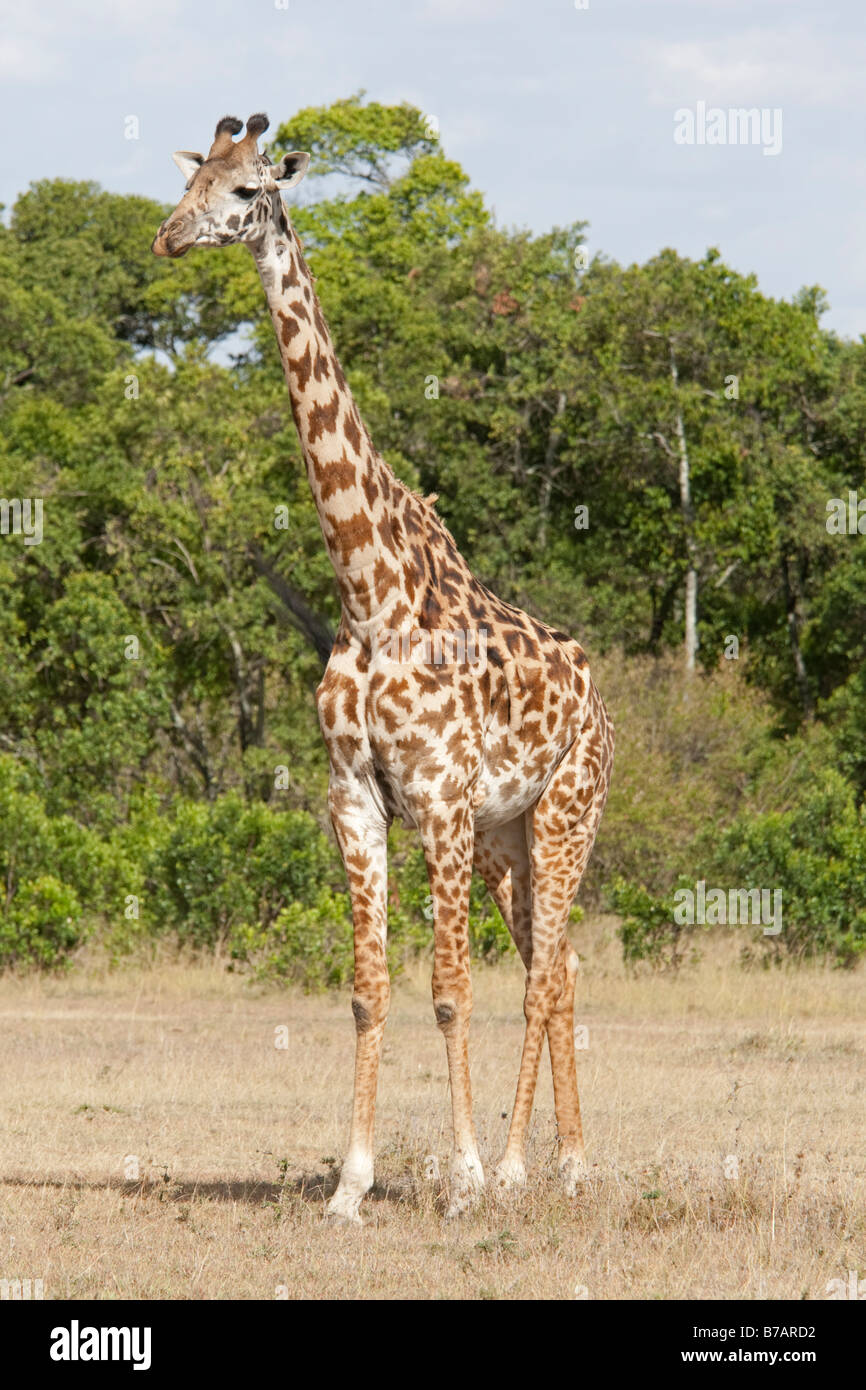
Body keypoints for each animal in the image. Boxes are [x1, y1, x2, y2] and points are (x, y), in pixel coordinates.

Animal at [155, 113, 617, 1223]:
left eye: (248, 192)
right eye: (191, 183)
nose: (167, 239)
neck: (368, 592)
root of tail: (601, 701)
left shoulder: (439, 800)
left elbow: (450, 992)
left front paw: (461, 1179)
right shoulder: (356, 797)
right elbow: (368, 993)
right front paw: (351, 1186)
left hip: (566, 811)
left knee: (539, 978)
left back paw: (516, 1169)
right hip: (508, 839)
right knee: (561, 966)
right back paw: (569, 1165)